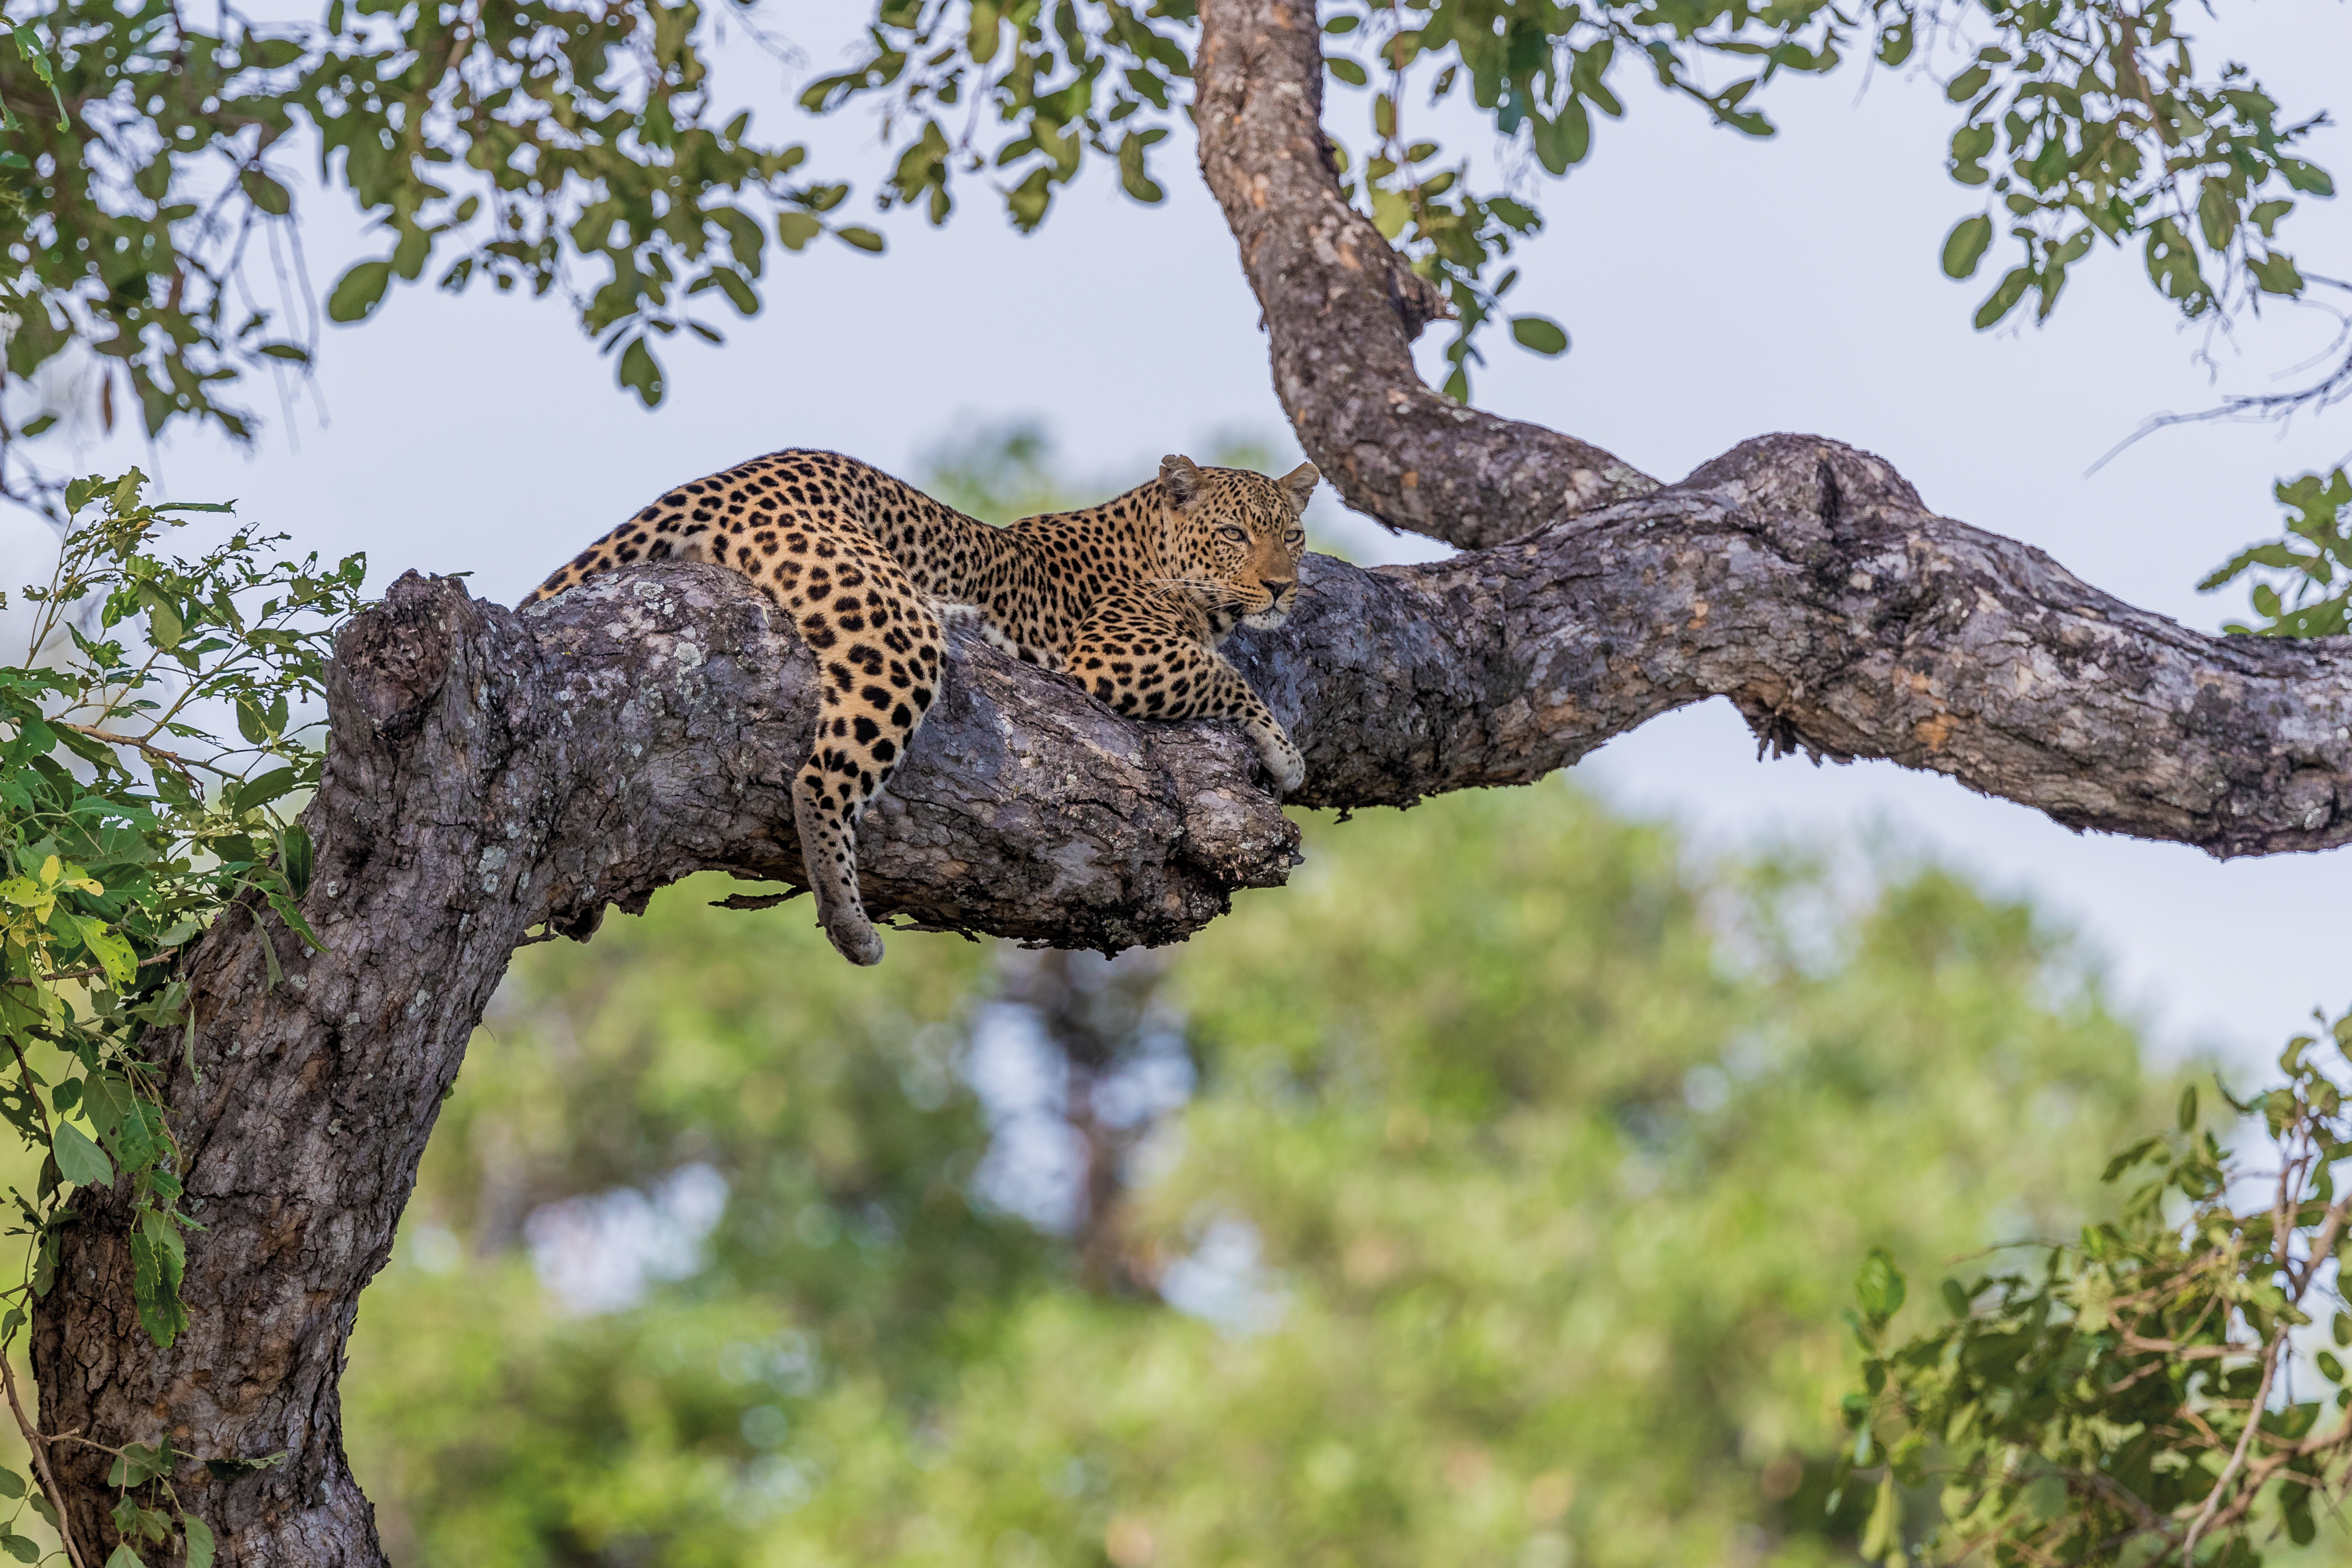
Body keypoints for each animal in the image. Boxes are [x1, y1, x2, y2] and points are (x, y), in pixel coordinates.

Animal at [522, 448, 1319, 967]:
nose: (1282, 585)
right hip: (890, 626)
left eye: (1293, 534)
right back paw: (850, 925)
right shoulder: (1113, 654)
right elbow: (1225, 674)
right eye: (1234, 534)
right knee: (818, 780)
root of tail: (728, 476)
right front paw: (1285, 753)